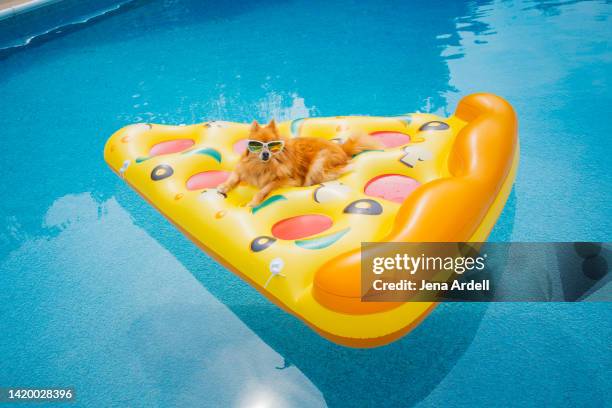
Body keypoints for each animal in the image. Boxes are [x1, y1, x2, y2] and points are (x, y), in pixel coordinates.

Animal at [218, 119, 380, 206]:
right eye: (256, 145)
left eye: (272, 145)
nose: (265, 153)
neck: (263, 166)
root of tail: (341, 148)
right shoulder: (242, 169)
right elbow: (233, 177)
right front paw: (223, 187)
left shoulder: (287, 180)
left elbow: (264, 188)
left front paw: (253, 202)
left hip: (319, 163)